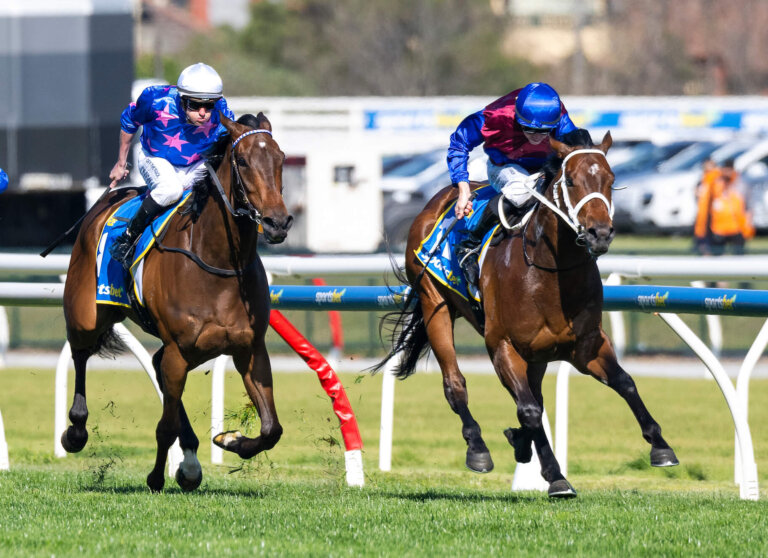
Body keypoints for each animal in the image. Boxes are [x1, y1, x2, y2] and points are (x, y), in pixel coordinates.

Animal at [60, 114, 292, 494]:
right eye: (243, 161)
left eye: (281, 158)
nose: (277, 221)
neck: (218, 262)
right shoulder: (179, 350)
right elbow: (164, 427)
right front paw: (156, 477)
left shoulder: (249, 349)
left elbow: (272, 428)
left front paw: (230, 440)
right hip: (86, 315)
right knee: (80, 353)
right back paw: (76, 430)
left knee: (155, 366)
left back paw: (192, 461)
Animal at [378, 131, 680, 498]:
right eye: (571, 180)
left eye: (610, 179)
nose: (600, 233)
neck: (550, 272)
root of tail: (435, 200)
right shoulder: (502, 345)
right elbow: (531, 410)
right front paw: (555, 475)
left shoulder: (586, 344)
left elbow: (625, 384)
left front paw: (660, 446)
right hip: (434, 304)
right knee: (455, 384)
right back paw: (477, 448)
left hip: (536, 354)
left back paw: (519, 441)